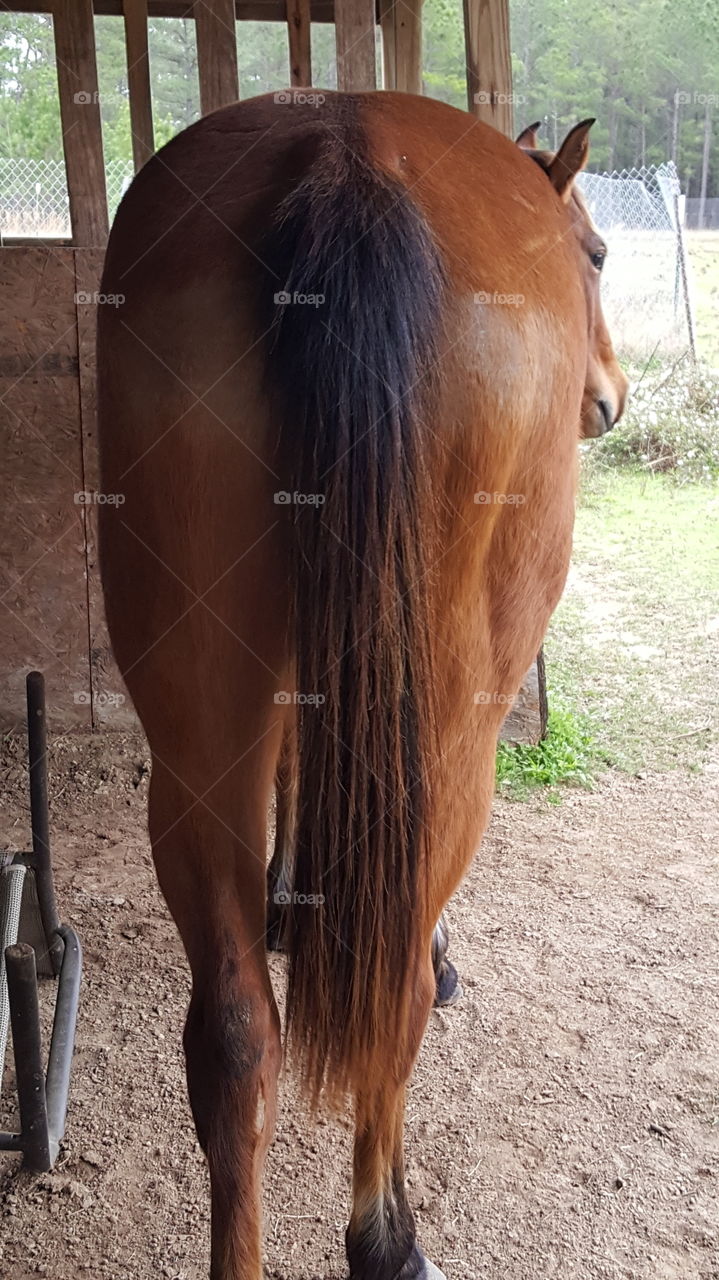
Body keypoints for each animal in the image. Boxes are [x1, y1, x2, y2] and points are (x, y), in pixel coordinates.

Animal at [97, 91, 627, 1280]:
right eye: (595, 254)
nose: (609, 401)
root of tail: (345, 152)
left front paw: (293, 896)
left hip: (194, 731)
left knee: (236, 1031)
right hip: (450, 728)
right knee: (392, 992)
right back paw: (387, 1232)